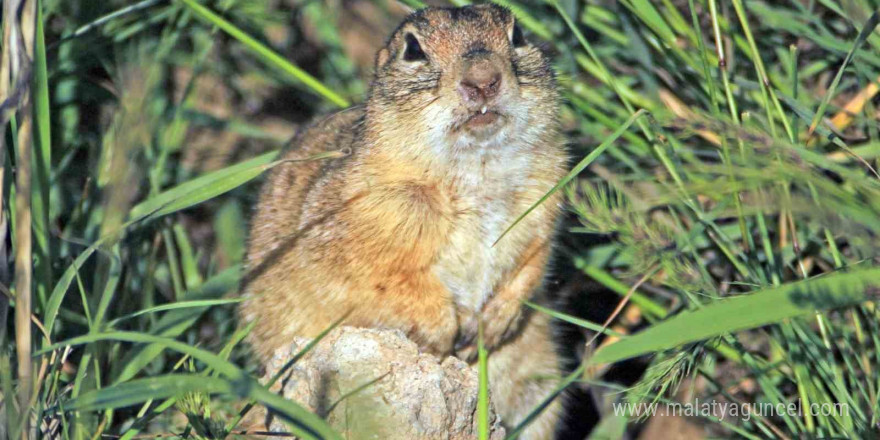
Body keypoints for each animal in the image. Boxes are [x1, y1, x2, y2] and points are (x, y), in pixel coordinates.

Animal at [241, 5, 568, 438]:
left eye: (518, 36)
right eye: (413, 49)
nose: (484, 80)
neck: (476, 169)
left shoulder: (544, 200)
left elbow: (533, 263)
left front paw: (491, 325)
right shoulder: (369, 218)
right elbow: (390, 282)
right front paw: (447, 331)